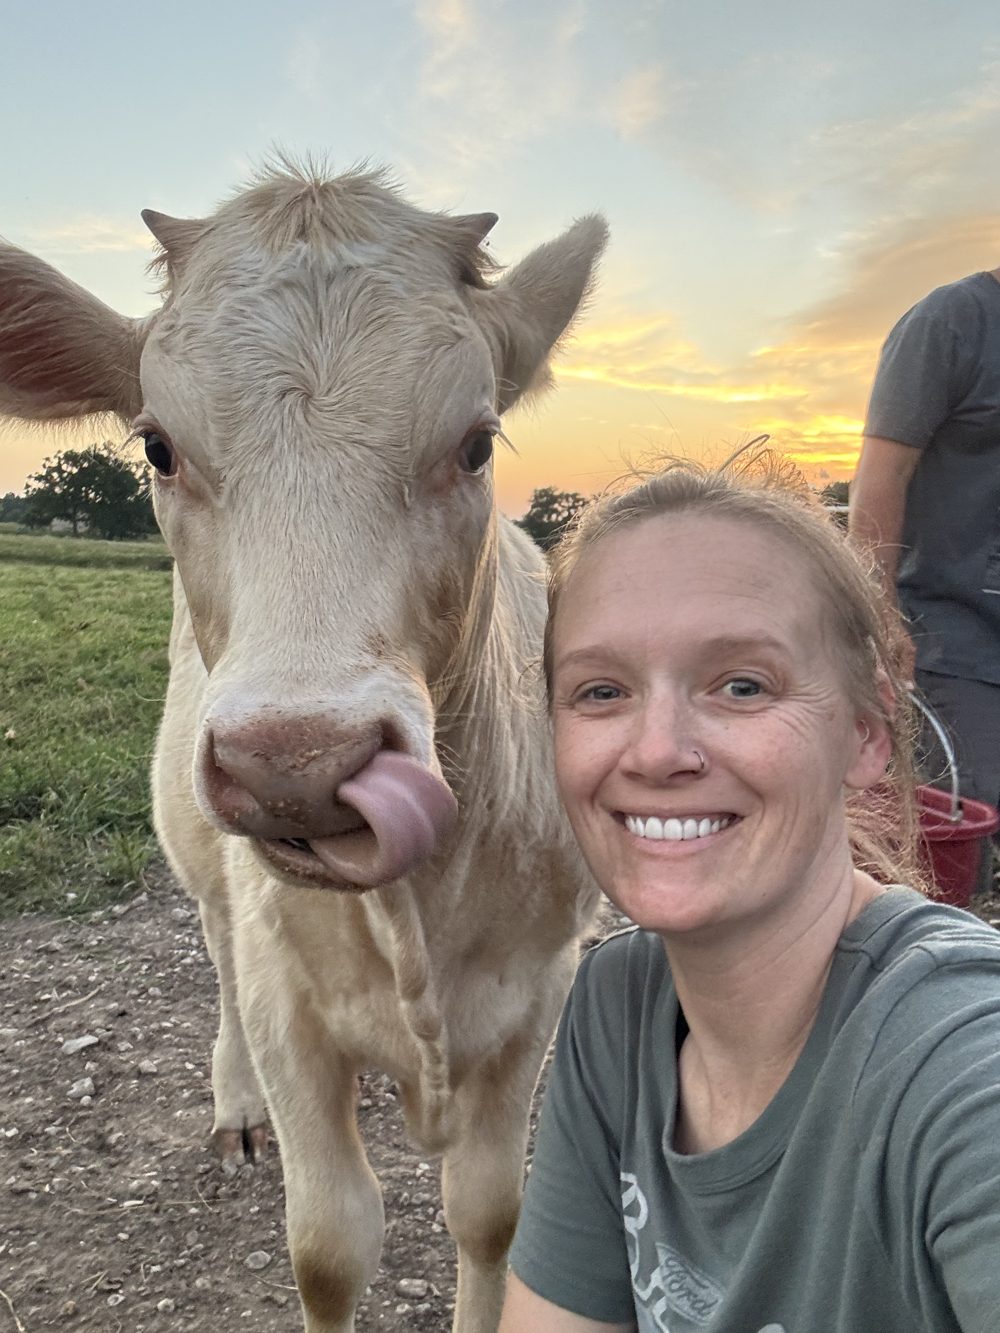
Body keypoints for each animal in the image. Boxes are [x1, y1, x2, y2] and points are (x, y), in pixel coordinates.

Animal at [0, 161, 605, 1332]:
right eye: (157, 446)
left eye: (477, 442)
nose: (297, 764)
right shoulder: (290, 1006)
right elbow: (328, 1245)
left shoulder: (537, 992)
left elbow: (488, 1212)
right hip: (206, 877)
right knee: (222, 962)